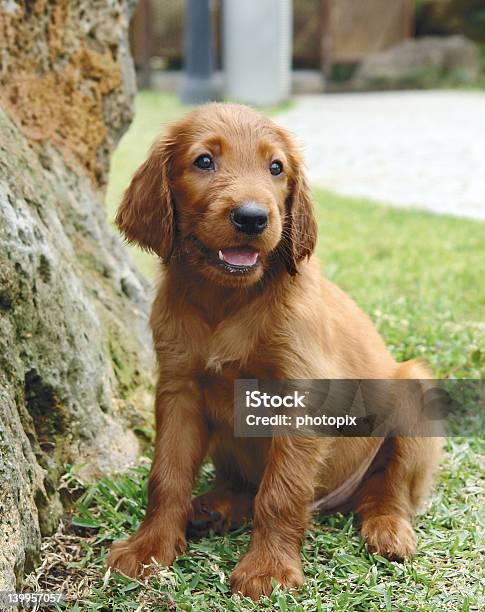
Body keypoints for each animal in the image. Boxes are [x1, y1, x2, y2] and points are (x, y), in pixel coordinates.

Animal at [108, 104, 440, 596]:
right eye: (204, 161)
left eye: (276, 168)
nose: (251, 218)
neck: (227, 299)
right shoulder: (179, 389)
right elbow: (166, 474)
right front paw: (149, 547)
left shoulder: (299, 397)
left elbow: (280, 492)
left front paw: (268, 569)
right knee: (241, 484)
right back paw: (215, 506)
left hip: (413, 391)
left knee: (389, 487)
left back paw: (387, 528)